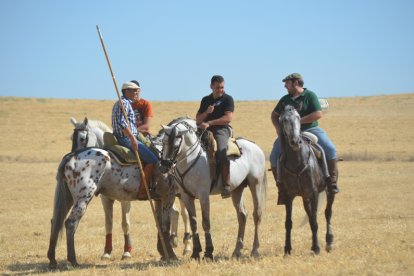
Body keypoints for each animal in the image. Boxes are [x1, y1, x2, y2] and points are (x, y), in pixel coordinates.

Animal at [71, 117, 192, 256]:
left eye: (82, 138)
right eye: (71, 137)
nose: (74, 160)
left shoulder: (125, 200)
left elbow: (125, 223)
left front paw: (127, 251)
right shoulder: (106, 199)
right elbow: (108, 223)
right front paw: (107, 252)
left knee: (185, 214)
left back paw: (186, 246)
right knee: (176, 213)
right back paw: (173, 241)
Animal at [160, 117, 266, 260]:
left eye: (176, 146)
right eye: (164, 142)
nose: (164, 166)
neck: (191, 159)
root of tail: (255, 146)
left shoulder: (203, 195)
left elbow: (206, 222)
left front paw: (208, 252)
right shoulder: (186, 196)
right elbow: (193, 222)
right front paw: (195, 252)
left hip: (256, 184)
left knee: (257, 214)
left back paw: (255, 249)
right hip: (237, 189)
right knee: (242, 215)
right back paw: (237, 251)